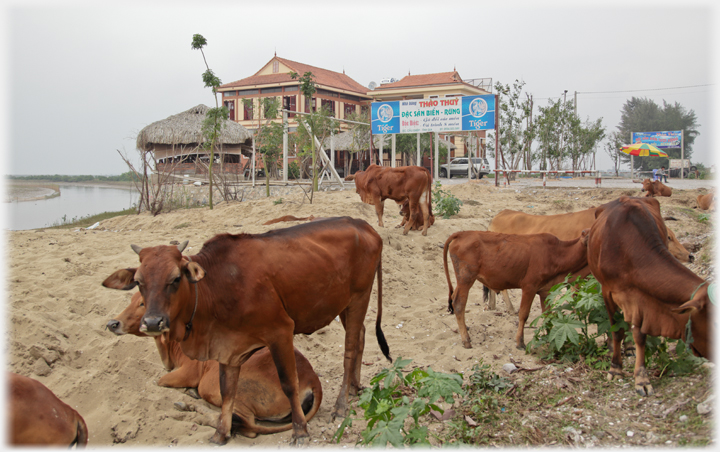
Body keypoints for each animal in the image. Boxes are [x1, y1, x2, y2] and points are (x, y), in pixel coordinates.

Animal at [106, 292, 320, 436]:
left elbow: (159, 381)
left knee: (246, 425)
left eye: (142, 303)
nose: (112, 323)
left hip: (213, 385)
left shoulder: (189, 372)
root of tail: (313, 378)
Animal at [444, 230, 592, 350]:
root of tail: (462, 233)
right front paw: (520, 342)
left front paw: (551, 341)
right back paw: (466, 340)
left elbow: (548, 315)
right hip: (466, 279)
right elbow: (523, 314)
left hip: (462, 282)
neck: (557, 253)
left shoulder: (546, 291)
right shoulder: (529, 287)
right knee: (459, 304)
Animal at [588, 195, 712, 396]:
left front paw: (641, 378)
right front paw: (615, 368)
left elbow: (640, 335)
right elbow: (617, 331)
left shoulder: (642, 298)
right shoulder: (607, 291)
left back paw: (629, 348)